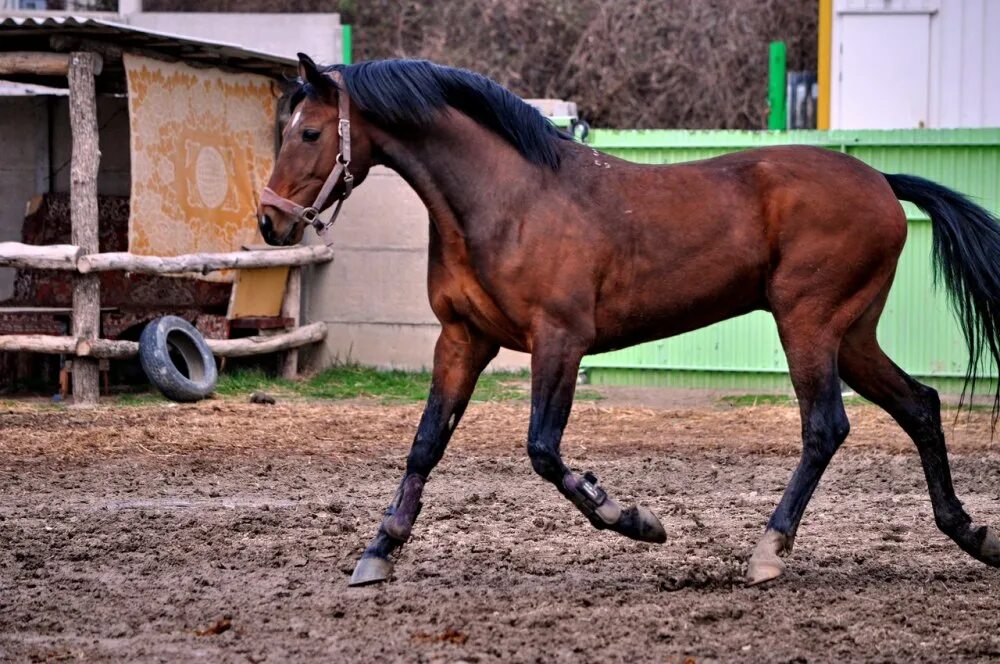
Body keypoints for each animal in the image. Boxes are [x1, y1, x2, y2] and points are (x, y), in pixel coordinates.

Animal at [258, 57, 1000, 588]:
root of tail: (880, 181)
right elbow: (425, 445)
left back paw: (767, 551)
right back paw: (973, 534)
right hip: (852, 335)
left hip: (809, 325)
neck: (508, 199)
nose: (270, 221)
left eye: (311, 132)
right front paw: (379, 549)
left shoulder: (560, 340)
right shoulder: (462, 340)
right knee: (921, 406)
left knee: (826, 427)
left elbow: (544, 449)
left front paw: (637, 519)